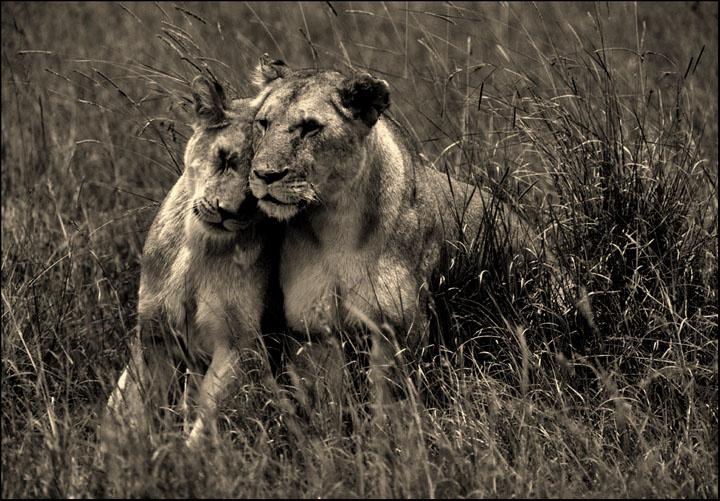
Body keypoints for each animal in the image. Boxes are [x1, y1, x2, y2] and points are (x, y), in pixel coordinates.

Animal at [101, 74, 280, 450]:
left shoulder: (235, 342)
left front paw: (187, 458)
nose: (228, 211)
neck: (200, 248)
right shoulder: (153, 336)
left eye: (263, 181)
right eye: (225, 158)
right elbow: (142, 408)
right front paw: (136, 455)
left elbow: (209, 413)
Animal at [248, 59, 564, 365]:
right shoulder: (312, 331)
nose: (264, 174)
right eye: (263, 123)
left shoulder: (399, 330)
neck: (333, 224)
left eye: (311, 127)